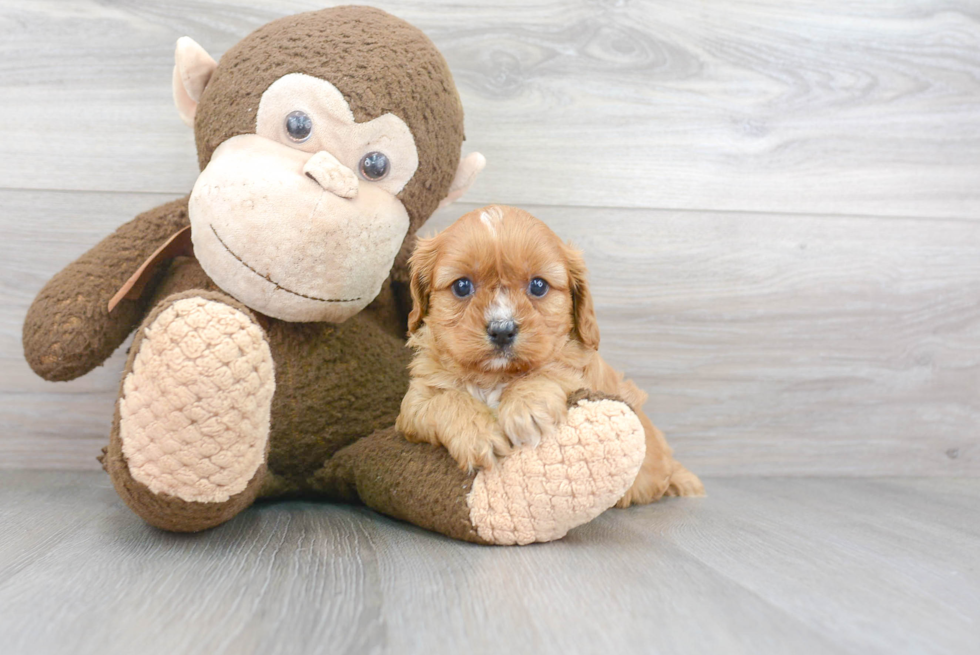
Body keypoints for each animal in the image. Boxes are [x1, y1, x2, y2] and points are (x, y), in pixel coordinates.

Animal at [398, 205, 704, 508]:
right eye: (462, 286)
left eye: (538, 286)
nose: (502, 329)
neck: (495, 376)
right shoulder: (414, 403)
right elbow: (444, 400)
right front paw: (478, 432)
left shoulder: (582, 375)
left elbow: (551, 370)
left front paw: (526, 408)